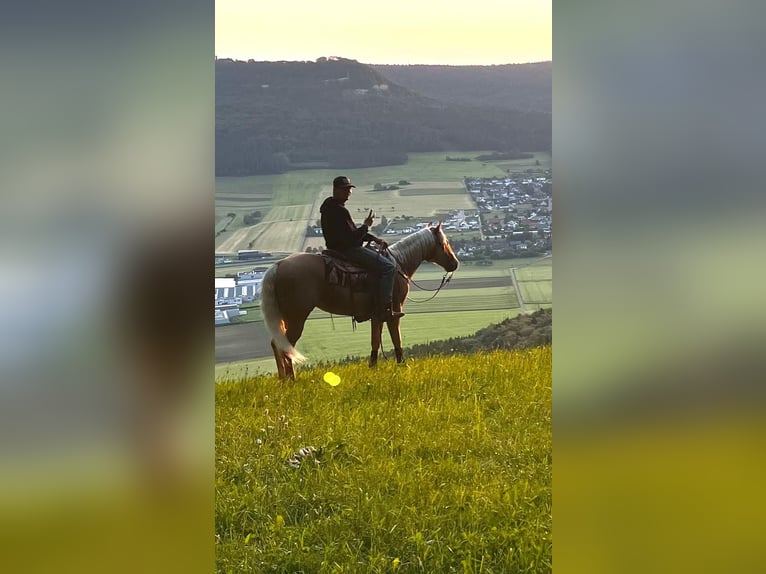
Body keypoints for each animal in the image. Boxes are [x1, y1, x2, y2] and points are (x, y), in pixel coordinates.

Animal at [260, 223, 460, 380]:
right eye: (443, 243)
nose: (455, 263)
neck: (397, 265)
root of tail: (278, 265)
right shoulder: (394, 311)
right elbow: (396, 338)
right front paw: (403, 365)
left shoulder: (377, 315)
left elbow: (374, 341)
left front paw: (373, 367)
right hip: (296, 318)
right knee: (285, 344)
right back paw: (291, 378)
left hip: (286, 317)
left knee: (276, 343)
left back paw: (283, 378)